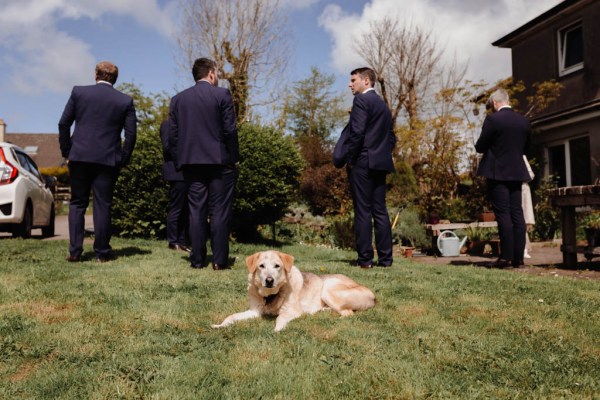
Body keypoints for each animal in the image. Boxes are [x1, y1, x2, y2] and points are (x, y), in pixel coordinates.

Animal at [211, 250, 376, 332]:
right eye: (261, 266)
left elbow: (280, 318)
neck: (271, 295)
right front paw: (220, 325)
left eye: (277, 266)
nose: (269, 280)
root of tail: (374, 296)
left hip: (328, 287)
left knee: (348, 313)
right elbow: (231, 316)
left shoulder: (292, 311)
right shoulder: (254, 311)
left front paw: (277, 329)